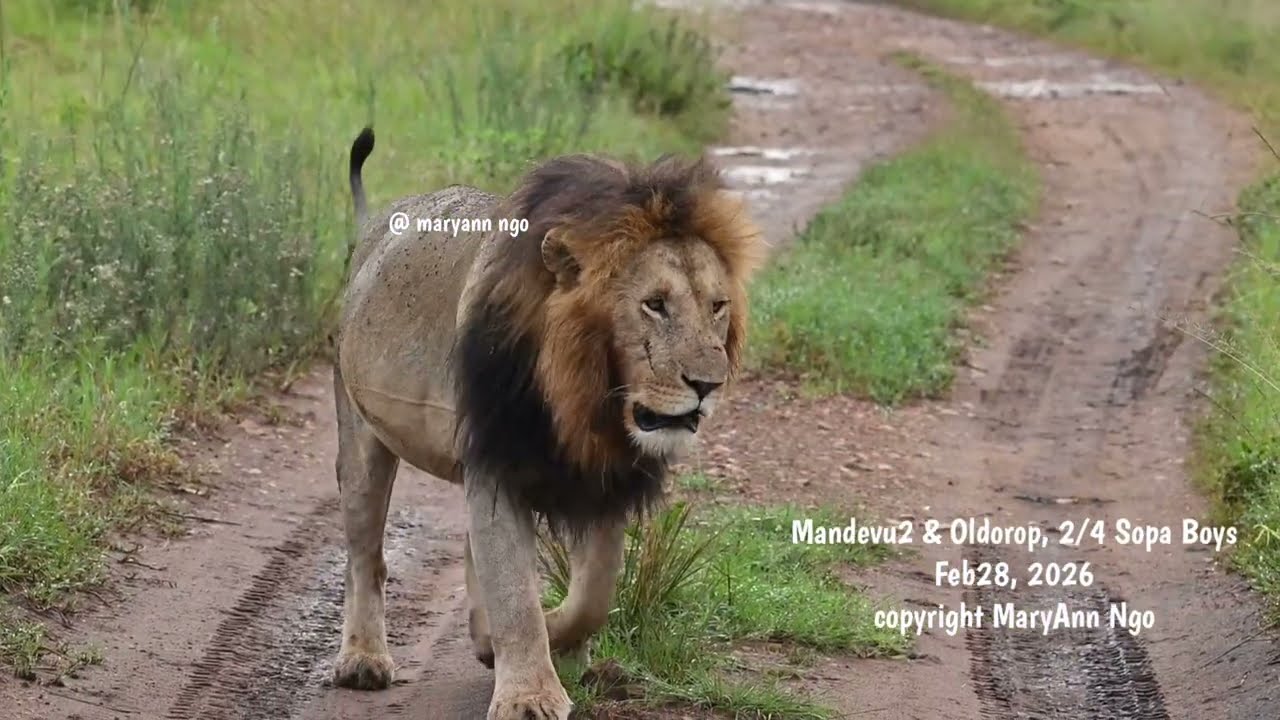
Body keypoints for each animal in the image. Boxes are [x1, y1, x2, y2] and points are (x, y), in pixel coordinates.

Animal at [330, 126, 765, 720]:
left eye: (718, 306)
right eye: (654, 304)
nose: (708, 385)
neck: (586, 396)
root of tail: (374, 224)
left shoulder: (605, 477)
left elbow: (594, 592)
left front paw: (558, 648)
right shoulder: (497, 466)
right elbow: (516, 592)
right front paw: (529, 695)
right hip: (361, 439)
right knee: (364, 556)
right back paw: (363, 660)